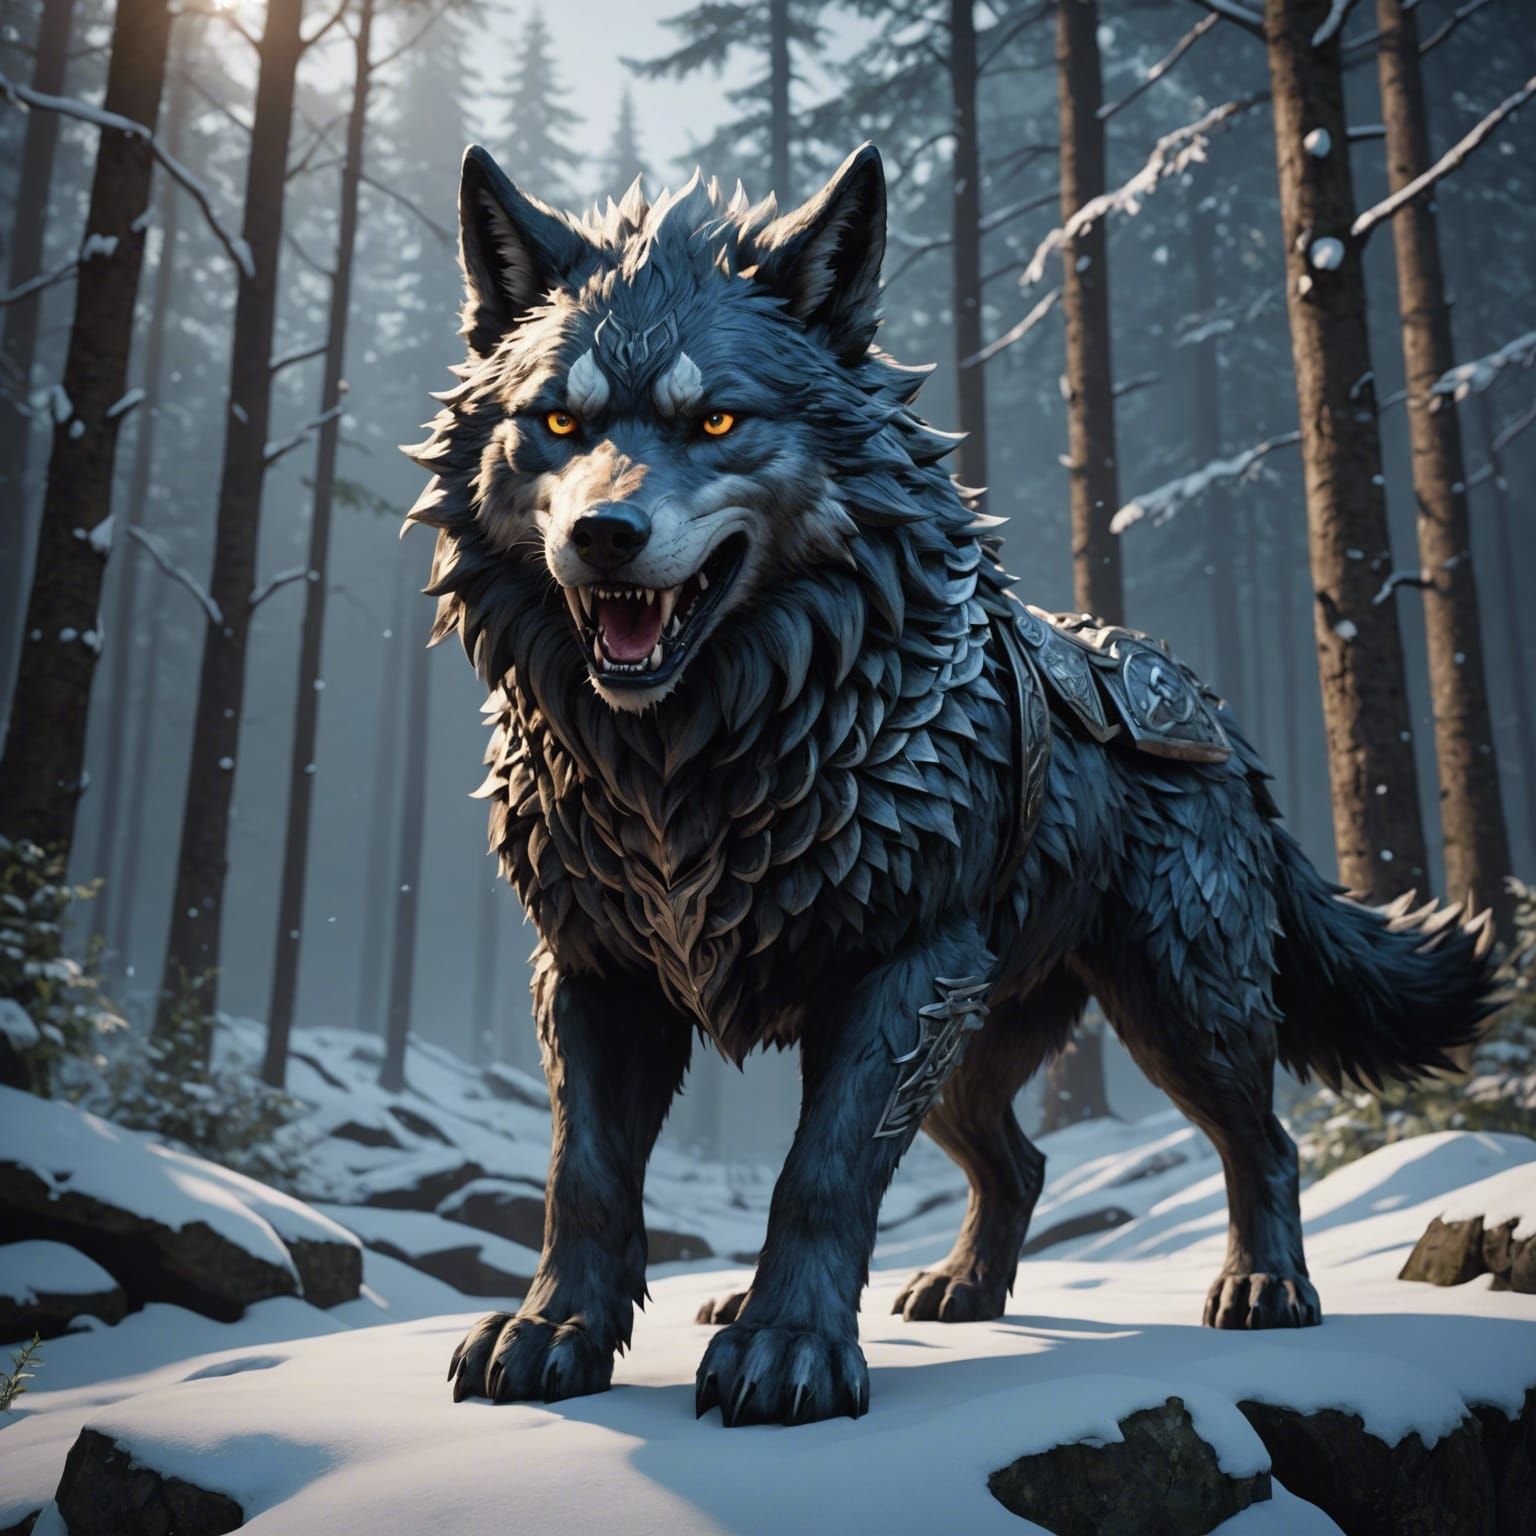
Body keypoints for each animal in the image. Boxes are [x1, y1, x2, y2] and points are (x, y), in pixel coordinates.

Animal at [408, 142, 1496, 1427]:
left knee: (1263, 1141)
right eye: (559, 422)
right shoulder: (594, 971)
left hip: (1174, 1007)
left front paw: (787, 1350)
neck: (695, 760)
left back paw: (1266, 1288)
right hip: (976, 1044)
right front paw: (554, 1334)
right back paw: (960, 1291)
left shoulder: (902, 971)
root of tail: (1209, 709)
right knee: (1021, 1160)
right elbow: (581, 1174)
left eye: (717, 417)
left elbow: (820, 1175)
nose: (604, 534)